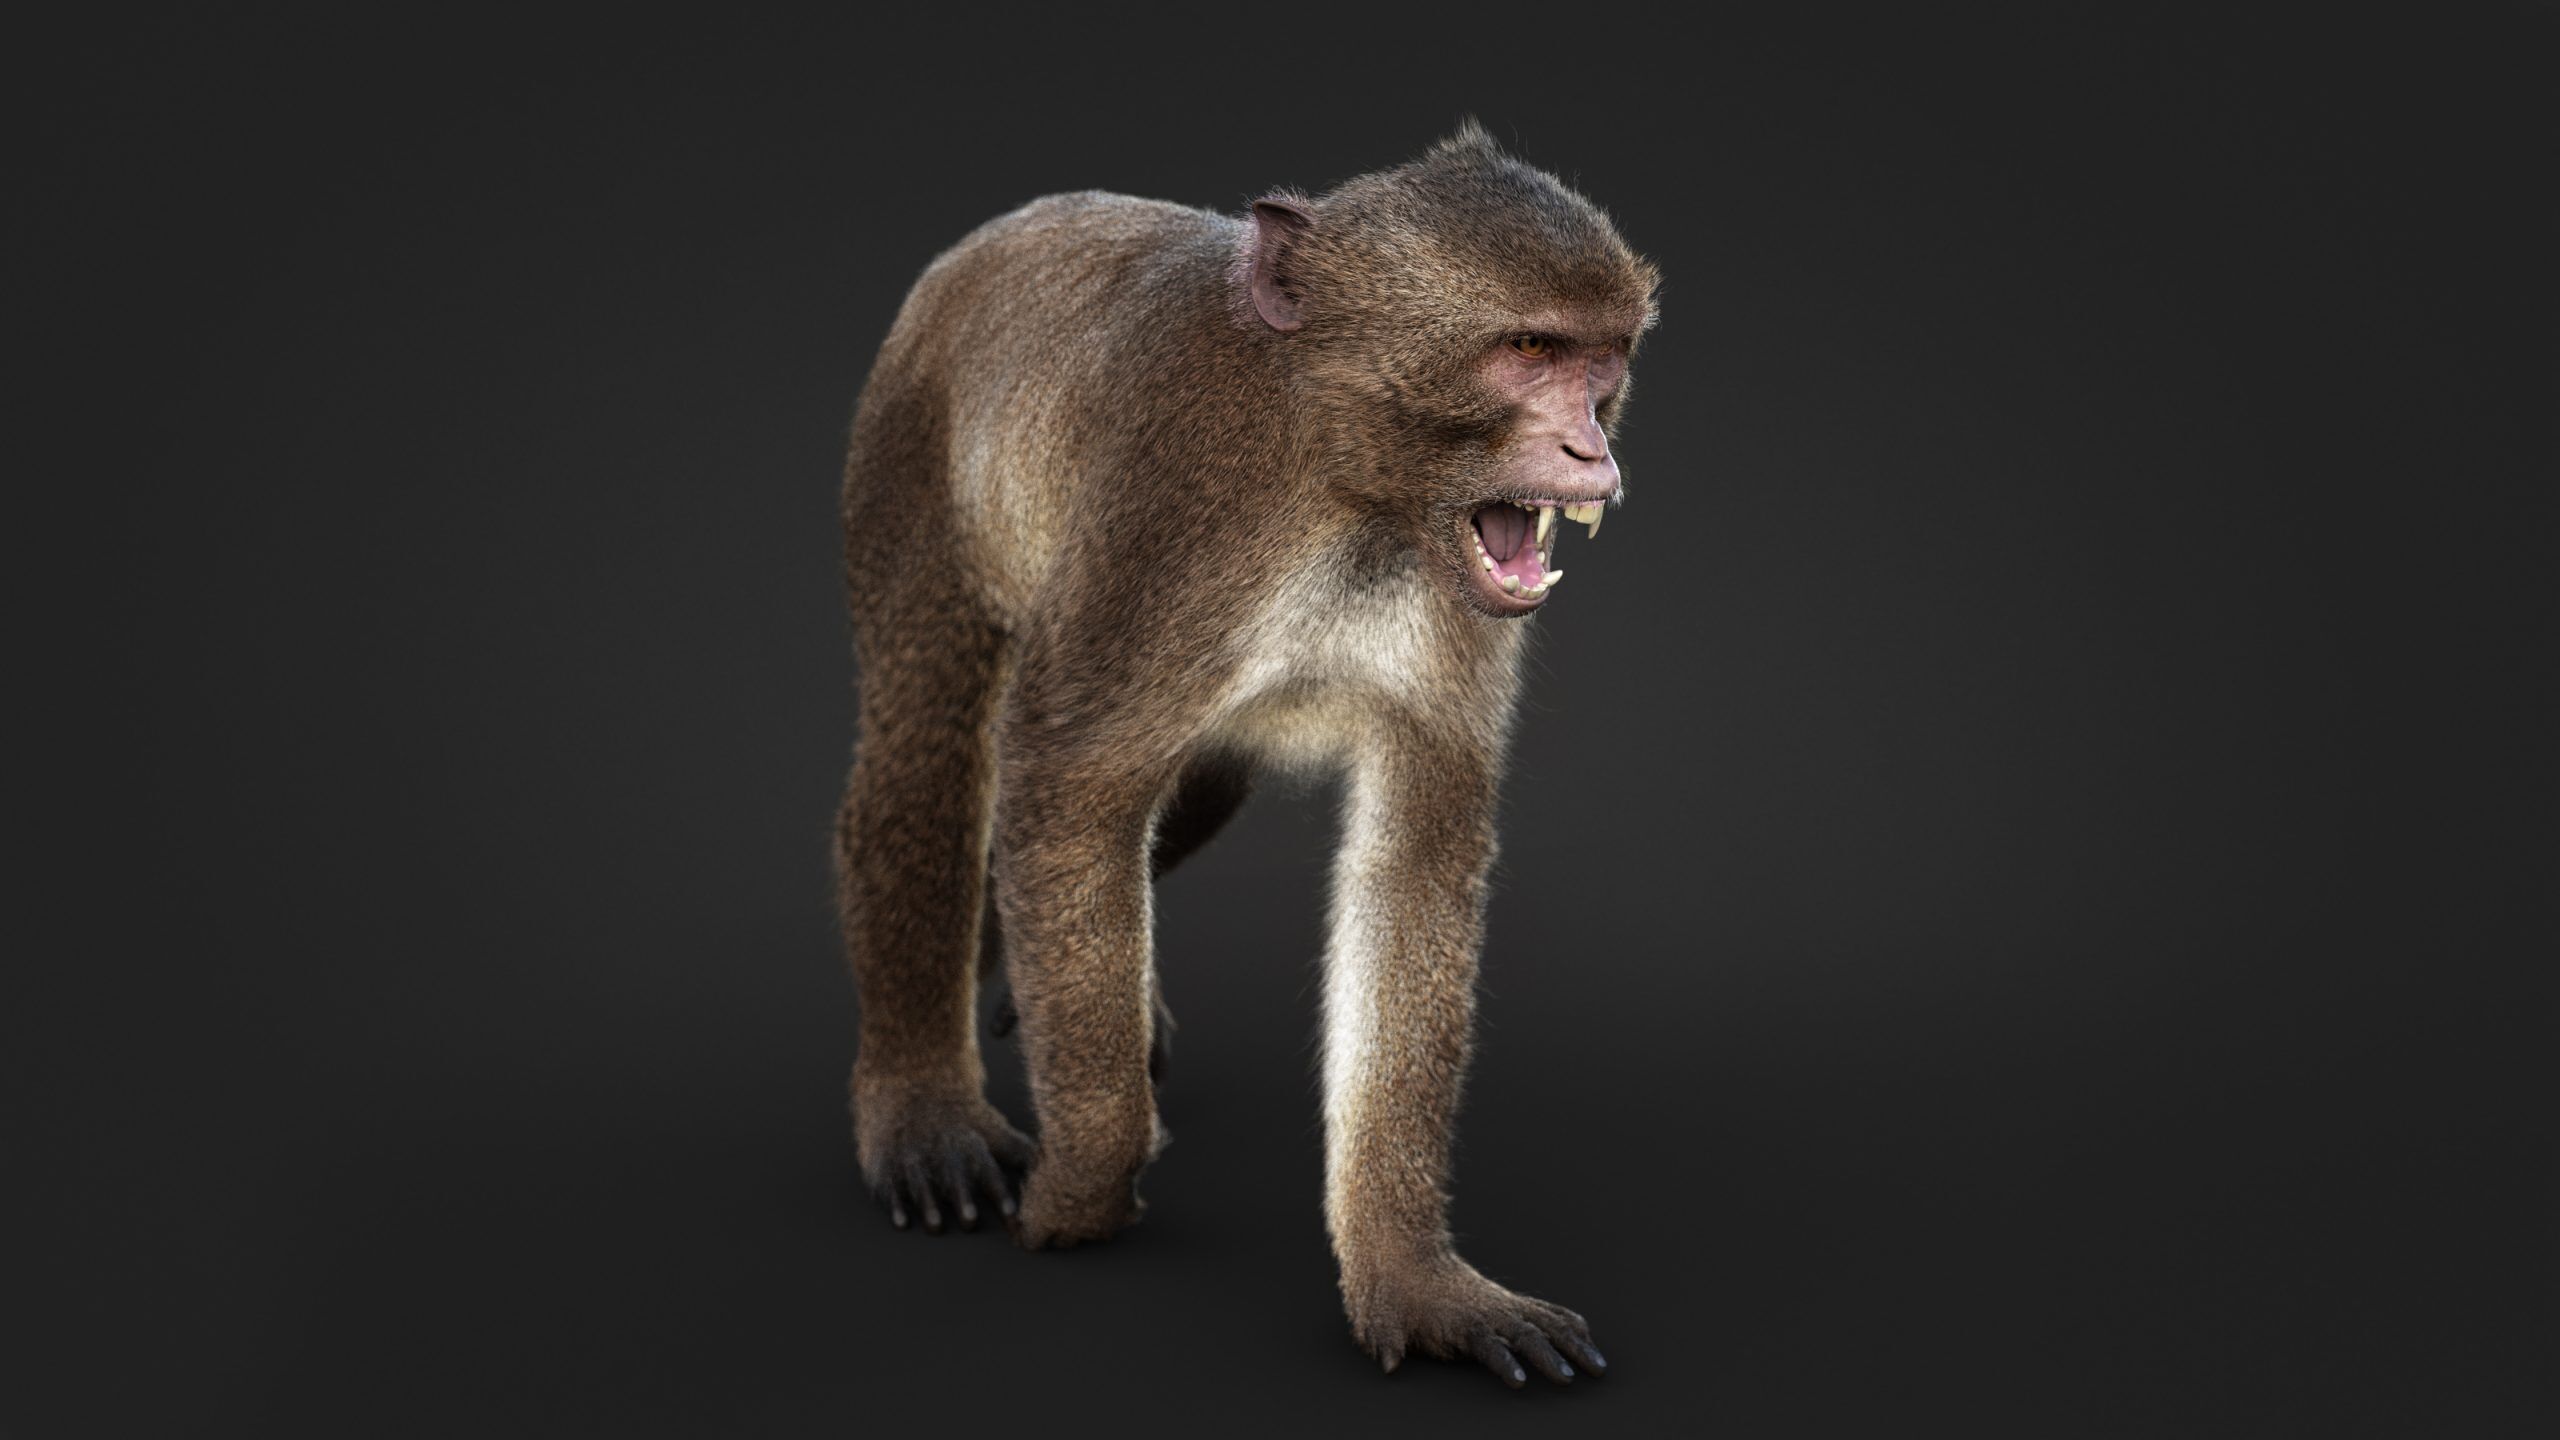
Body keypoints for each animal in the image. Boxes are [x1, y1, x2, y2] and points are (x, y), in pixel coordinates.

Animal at [833, 123, 1657, 1388]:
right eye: (1528, 350)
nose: (1591, 447)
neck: (1342, 476)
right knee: (933, 732)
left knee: (1195, 789)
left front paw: (1413, 1282)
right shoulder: (1179, 517)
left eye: (1602, 357)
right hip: (908, 451)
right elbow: (1066, 787)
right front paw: (1082, 1190)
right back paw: (919, 1092)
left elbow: (1411, 861)